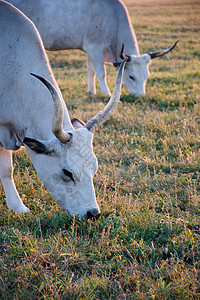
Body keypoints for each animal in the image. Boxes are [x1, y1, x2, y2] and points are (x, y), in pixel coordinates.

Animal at [7, 0, 178, 96]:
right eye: (131, 77)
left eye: (146, 76)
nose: (141, 96)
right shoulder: (95, 47)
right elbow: (101, 72)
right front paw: (106, 93)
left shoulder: (90, 50)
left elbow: (92, 71)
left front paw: (91, 92)